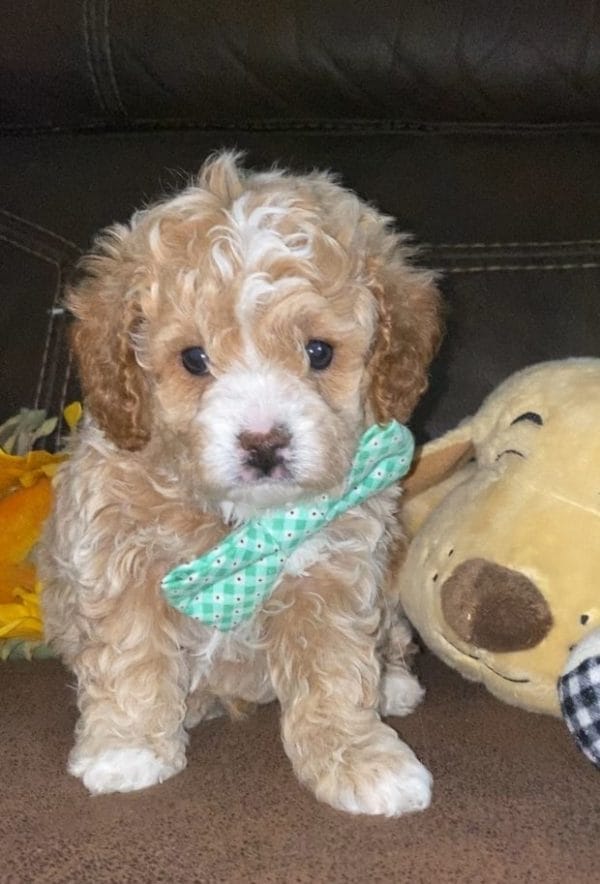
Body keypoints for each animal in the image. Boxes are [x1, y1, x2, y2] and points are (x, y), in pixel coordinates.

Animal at [37, 150, 440, 816]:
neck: (240, 521)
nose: (264, 443)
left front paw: (360, 760)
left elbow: (335, 674)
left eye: (319, 352)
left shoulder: (334, 571)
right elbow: (131, 654)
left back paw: (396, 686)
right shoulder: (116, 554)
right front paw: (127, 748)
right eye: (193, 360)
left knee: (393, 637)